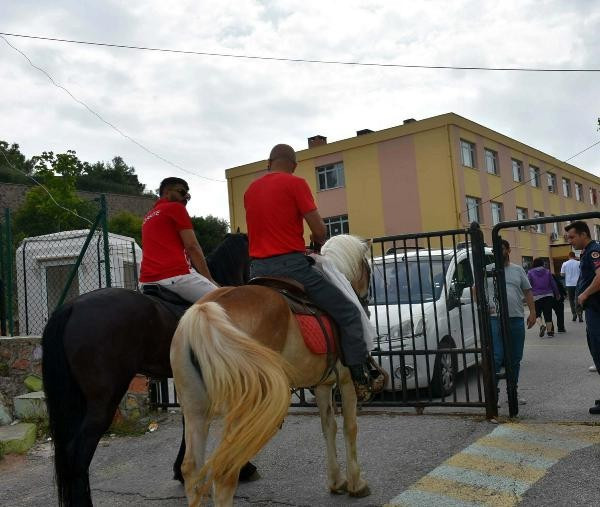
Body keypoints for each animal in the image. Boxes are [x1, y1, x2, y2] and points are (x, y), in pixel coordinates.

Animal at [171, 236, 372, 506]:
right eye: (368, 270)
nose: (366, 300)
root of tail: (204, 313)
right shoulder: (347, 380)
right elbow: (350, 428)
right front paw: (355, 483)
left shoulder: (322, 384)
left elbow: (328, 427)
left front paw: (336, 481)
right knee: (224, 472)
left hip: (195, 408)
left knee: (191, 468)